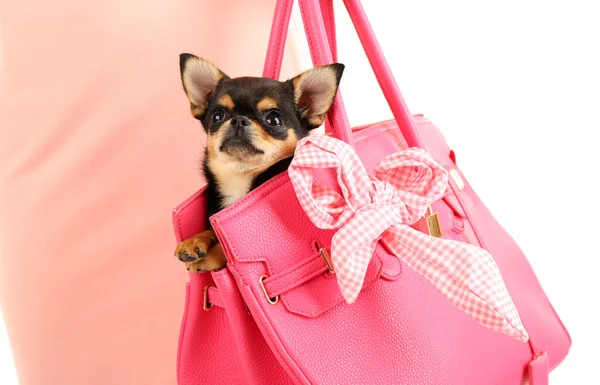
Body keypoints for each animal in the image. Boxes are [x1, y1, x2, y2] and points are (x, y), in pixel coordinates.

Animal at [175, 54, 342, 272]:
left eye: (274, 119)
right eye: (217, 116)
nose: (239, 120)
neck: (240, 177)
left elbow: (226, 250)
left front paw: (212, 254)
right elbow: (211, 230)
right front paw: (194, 241)